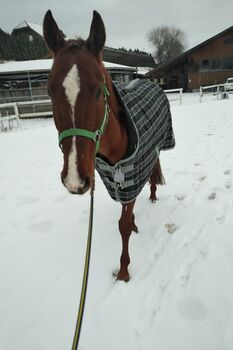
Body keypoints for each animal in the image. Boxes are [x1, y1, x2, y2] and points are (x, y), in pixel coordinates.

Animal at [43, 10, 175, 282]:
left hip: (157, 148)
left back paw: (153, 196)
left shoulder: (130, 177)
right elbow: (126, 215)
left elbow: (122, 225)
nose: (74, 180)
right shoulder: (120, 184)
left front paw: (123, 271)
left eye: (97, 92)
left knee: (154, 170)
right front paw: (133, 223)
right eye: (50, 92)